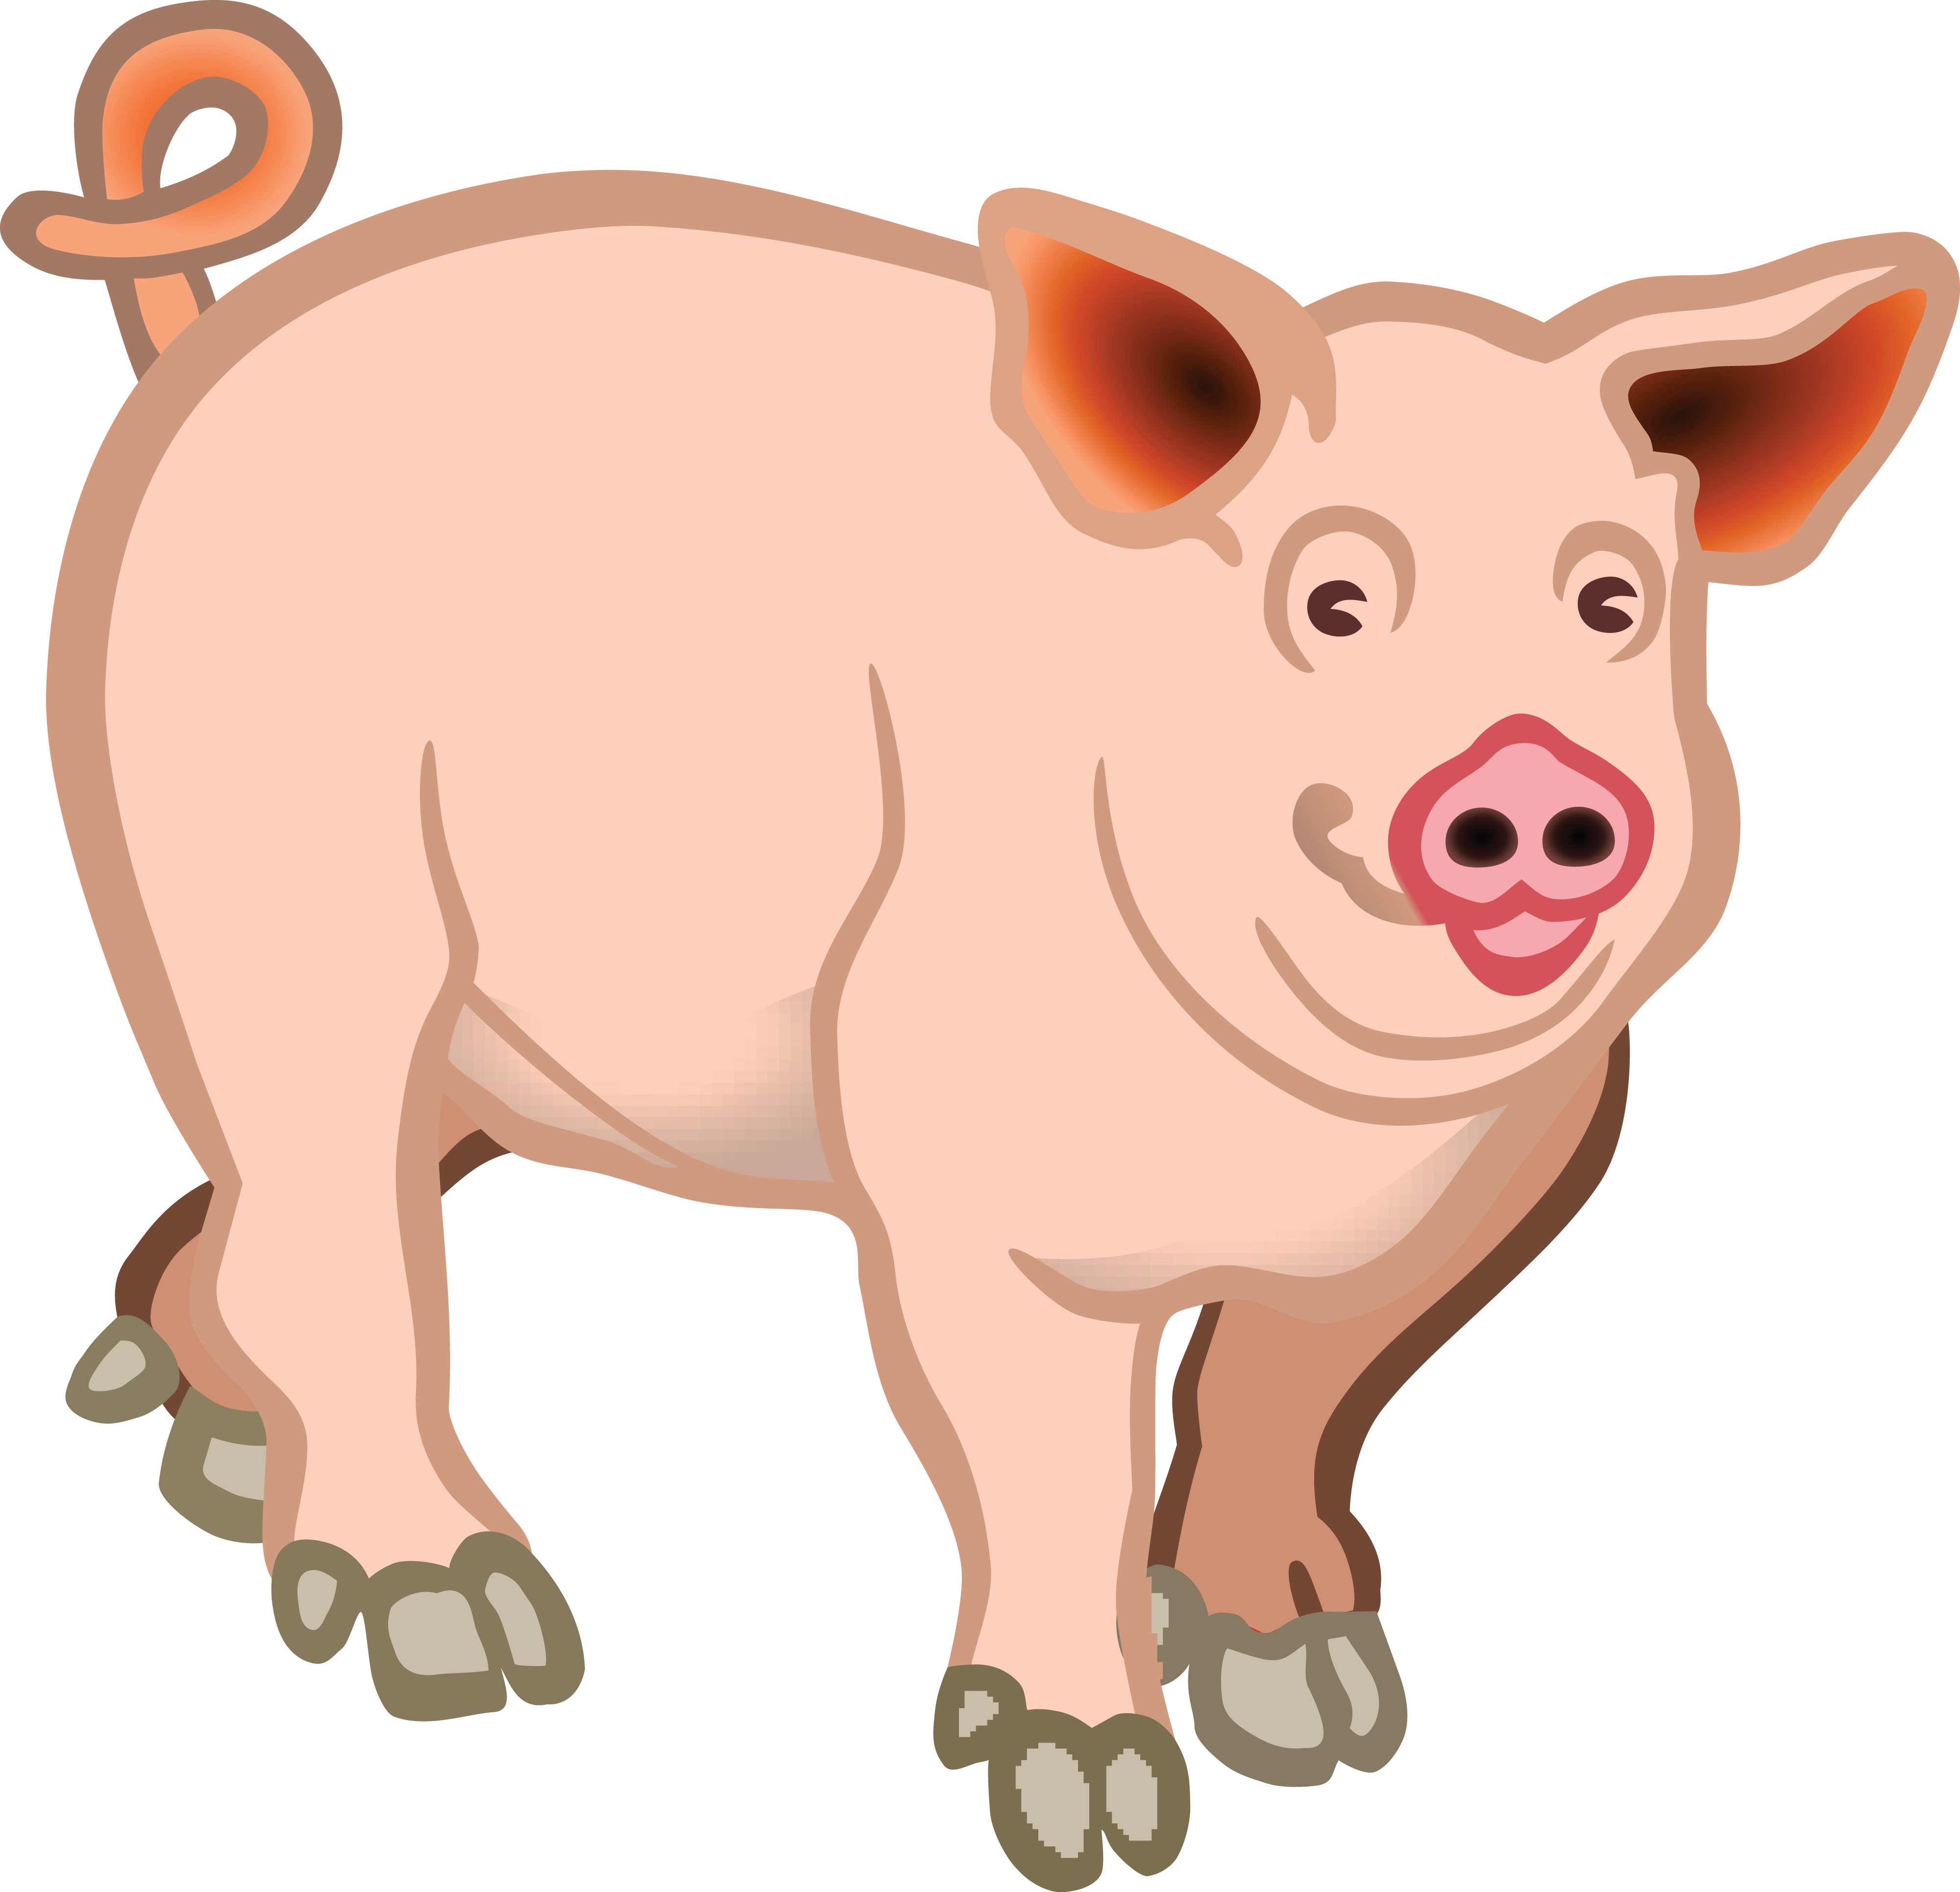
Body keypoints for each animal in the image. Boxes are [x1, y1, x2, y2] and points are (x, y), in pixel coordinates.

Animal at [11, 5, 1953, 1884]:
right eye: (1330, 600)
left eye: (1610, 600)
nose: (1531, 776)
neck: (1313, 1113)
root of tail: (216, 335)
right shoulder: (965, 1191)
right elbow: (1050, 1468)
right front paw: (1090, 1815)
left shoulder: (1474, 1200)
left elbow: (1273, 1398)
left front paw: (1313, 1715)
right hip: (261, 888)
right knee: (331, 1203)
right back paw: (460, 1643)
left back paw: (195, 1434)